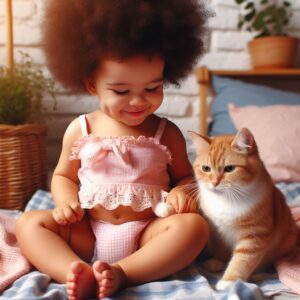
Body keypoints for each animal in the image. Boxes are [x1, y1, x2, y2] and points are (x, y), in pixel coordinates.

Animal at [189, 127, 296, 290]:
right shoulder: (217, 230)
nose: (214, 183)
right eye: (206, 168)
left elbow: (242, 261)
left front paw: (229, 281)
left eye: (230, 169)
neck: (226, 199)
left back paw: (259, 275)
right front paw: (218, 261)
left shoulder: (255, 236)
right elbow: (220, 247)